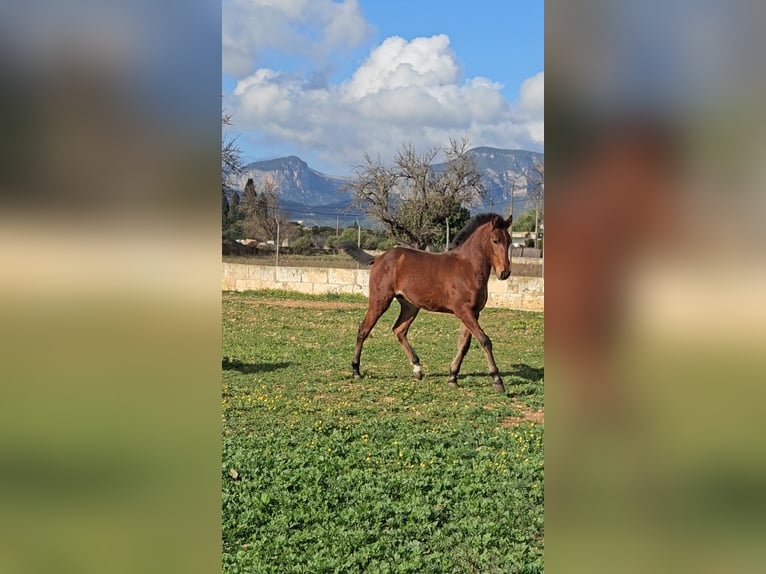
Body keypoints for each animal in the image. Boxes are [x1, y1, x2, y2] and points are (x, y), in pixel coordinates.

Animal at [344, 214, 512, 394]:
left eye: (509, 240)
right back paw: (356, 370)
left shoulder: (473, 312)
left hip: (410, 306)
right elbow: (485, 340)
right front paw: (497, 380)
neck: (467, 267)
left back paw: (417, 368)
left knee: (399, 330)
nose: (505, 272)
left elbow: (464, 345)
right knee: (364, 329)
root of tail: (379, 258)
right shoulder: (463, 311)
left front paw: (452, 377)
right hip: (380, 300)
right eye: (495, 240)